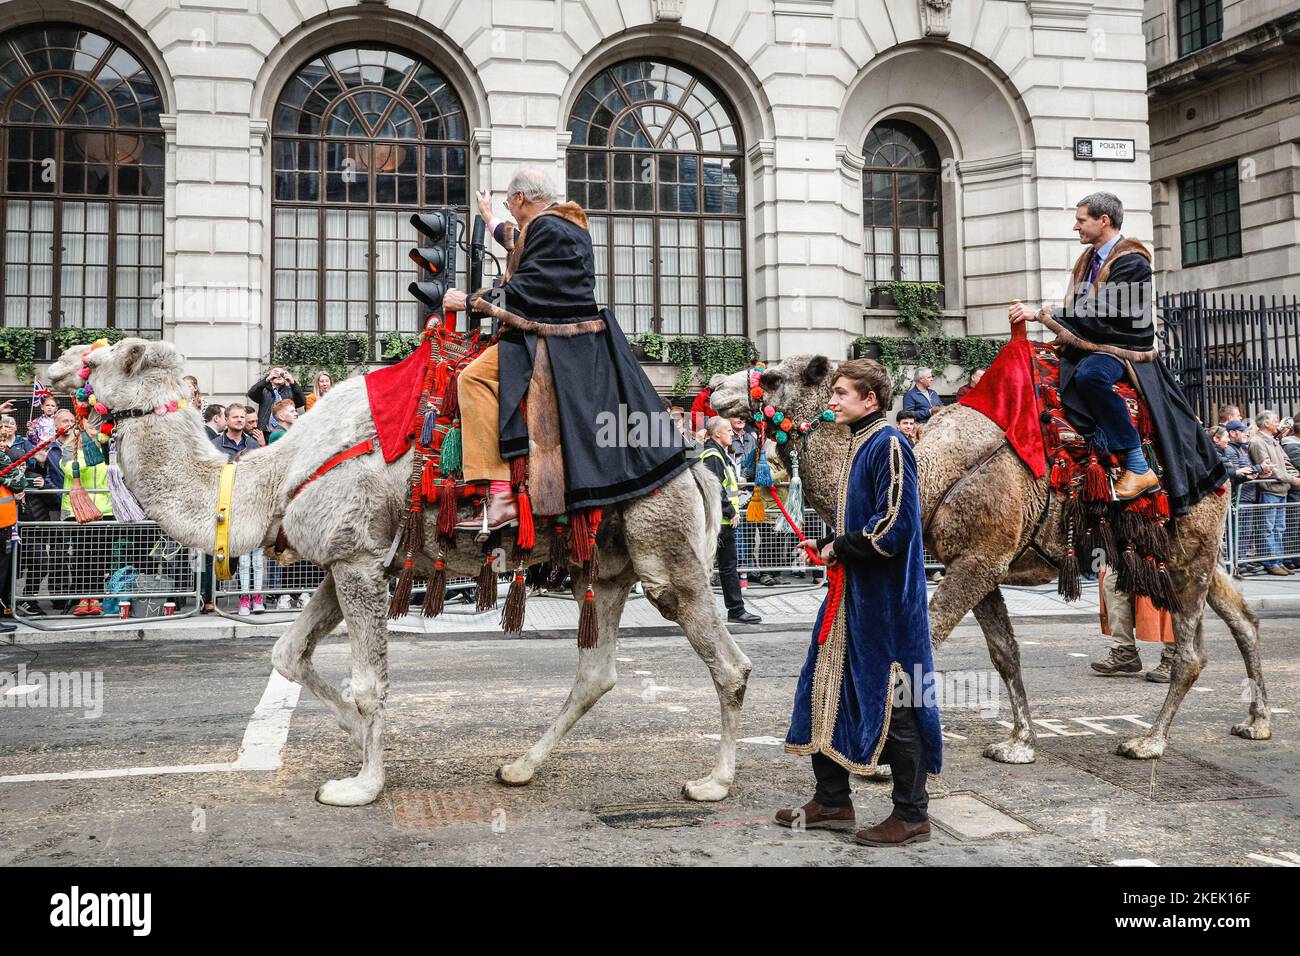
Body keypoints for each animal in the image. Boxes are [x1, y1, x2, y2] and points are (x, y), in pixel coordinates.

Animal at [48, 343, 754, 806]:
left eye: (101, 359)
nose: (51, 366)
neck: (266, 479)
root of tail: (696, 461)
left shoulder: (358, 561)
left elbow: (367, 684)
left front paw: (361, 785)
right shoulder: (345, 563)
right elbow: (287, 654)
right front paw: (356, 742)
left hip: (664, 556)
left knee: (729, 664)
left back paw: (714, 782)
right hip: (607, 567)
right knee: (596, 672)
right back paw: (519, 768)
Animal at [712, 356, 1268, 764]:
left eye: (771, 377)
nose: (716, 387)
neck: (929, 472)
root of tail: (1213, 457)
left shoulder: (980, 559)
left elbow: (927, 642)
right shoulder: (981, 564)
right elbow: (1005, 654)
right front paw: (1019, 743)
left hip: (1188, 551)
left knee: (1194, 651)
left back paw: (1149, 741)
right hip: (1198, 551)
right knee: (1243, 617)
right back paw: (1256, 720)